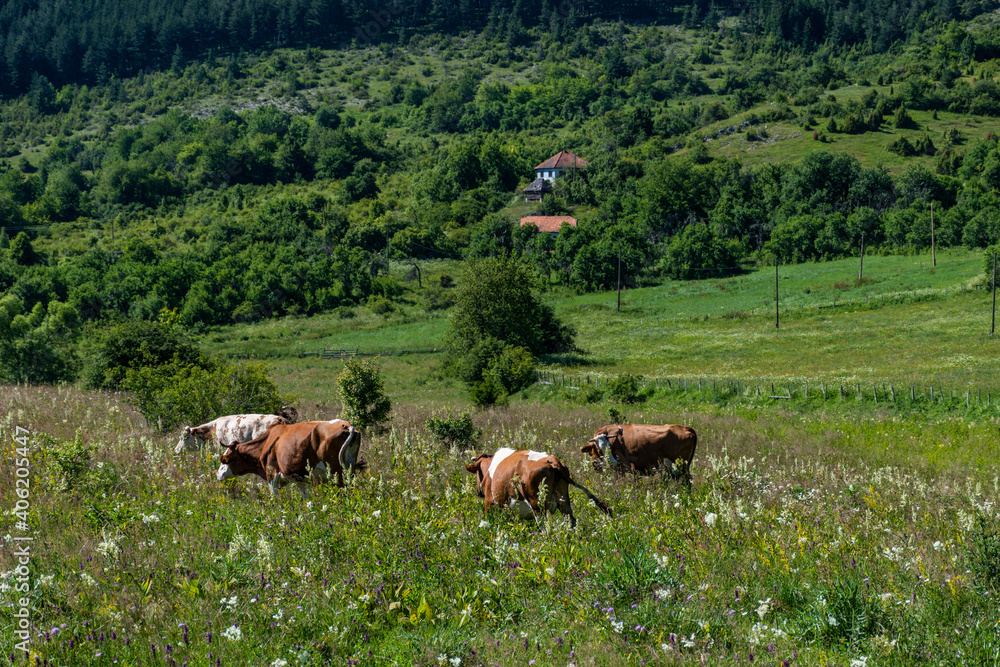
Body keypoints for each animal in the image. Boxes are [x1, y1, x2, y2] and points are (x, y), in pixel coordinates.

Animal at [217, 418, 366, 496]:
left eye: (225, 460)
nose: (218, 474)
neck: (267, 442)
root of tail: (347, 425)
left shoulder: (272, 476)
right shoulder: (300, 481)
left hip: (336, 473)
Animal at [464, 448, 612, 528]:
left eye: (476, 473)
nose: (478, 492)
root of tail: (553, 461)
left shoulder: (489, 503)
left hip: (537, 505)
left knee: (545, 528)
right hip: (563, 500)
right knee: (571, 521)